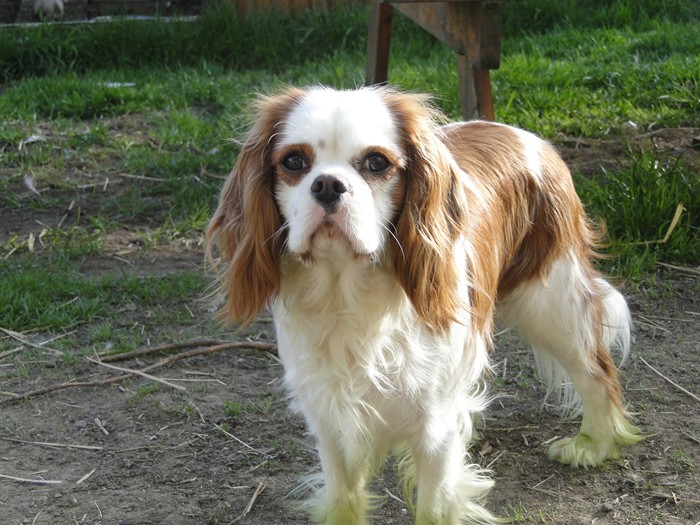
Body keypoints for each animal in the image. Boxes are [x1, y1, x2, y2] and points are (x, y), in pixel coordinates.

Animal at [205, 88, 644, 520]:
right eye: (294, 161)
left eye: (377, 162)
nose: (328, 184)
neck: (346, 291)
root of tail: (528, 136)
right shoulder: (330, 421)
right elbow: (344, 501)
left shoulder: (436, 426)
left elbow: (432, 508)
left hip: (552, 302)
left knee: (597, 370)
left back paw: (593, 444)